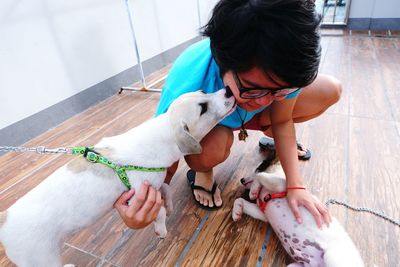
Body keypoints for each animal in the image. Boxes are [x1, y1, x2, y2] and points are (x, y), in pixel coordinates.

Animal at [0, 89, 236, 267]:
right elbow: (158, 211)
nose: (228, 89)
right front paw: (161, 228)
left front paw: (169, 205)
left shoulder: (153, 184)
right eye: (203, 108)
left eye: (203, 91)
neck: (164, 132)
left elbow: (166, 190)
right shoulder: (137, 194)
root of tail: (4, 219)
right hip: (41, 258)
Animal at [233, 150, 364, 266]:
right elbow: (239, 200)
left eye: (259, 167)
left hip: (332, 256)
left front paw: (254, 189)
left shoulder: (282, 185)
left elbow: (260, 176)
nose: (241, 180)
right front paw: (236, 212)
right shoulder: (263, 214)